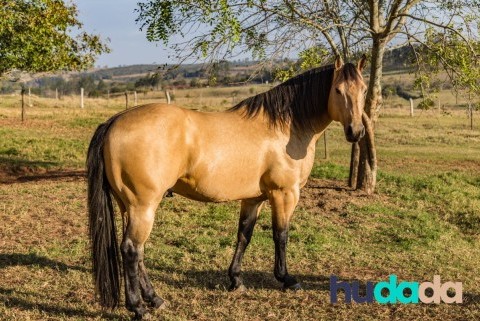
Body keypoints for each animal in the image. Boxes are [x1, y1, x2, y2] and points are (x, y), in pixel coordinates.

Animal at [86, 55, 368, 318]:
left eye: (363, 89)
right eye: (338, 90)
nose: (356, 132)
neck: (285, 128)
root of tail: (115, 121)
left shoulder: (253, 199)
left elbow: (244, 235)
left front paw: (236, 280)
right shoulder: (285, 194)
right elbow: (281, 235)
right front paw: (287, 279)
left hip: (129, 207)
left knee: (138, 252)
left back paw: (155, 299)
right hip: (143, 207)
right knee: (131, 250)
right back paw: (138, 308)